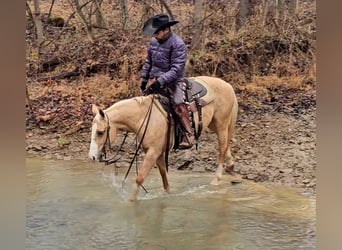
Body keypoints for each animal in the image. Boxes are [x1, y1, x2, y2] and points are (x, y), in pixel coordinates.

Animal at [88, 75, 238, 201]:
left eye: (100, 132)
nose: (92, 157)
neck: (143, 117)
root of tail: (227, 85)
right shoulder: (158, 152)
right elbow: (164, 178)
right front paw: (167, 194)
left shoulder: (153, 153)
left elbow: (140, 178)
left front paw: (130, 202)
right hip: (214, 124)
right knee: (226, 145)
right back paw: (230, 166)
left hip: (221, 123)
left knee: (222, 148)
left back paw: (216, 179)